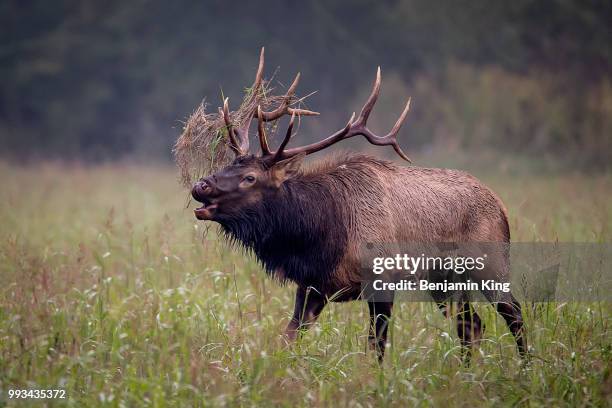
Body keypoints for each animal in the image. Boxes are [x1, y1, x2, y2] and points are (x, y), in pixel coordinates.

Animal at [188, 47, 524, 360]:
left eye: (250, 178)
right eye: (230, 163)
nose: (200, 185)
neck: (321, 236)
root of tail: (502, 207)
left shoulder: (383, 278)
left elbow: (376, 346)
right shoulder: (312, 286)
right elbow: (289, 337)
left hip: (490, 263)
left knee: (514, 314)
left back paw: (525, 368)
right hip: (445, 282)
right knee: (472, 325)